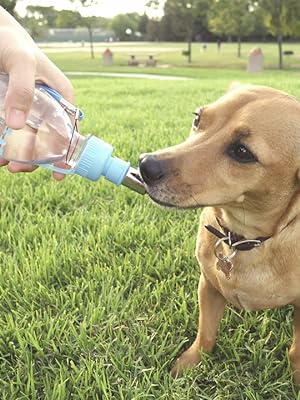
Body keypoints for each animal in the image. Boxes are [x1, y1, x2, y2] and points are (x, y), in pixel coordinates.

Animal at [139, 85, 300, 384]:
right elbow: (206, 332)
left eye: (242, 152)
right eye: (197, 119)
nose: (145, 165)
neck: (243, 239)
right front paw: (191, 362)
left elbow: (296, 351)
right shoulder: (209, 285)